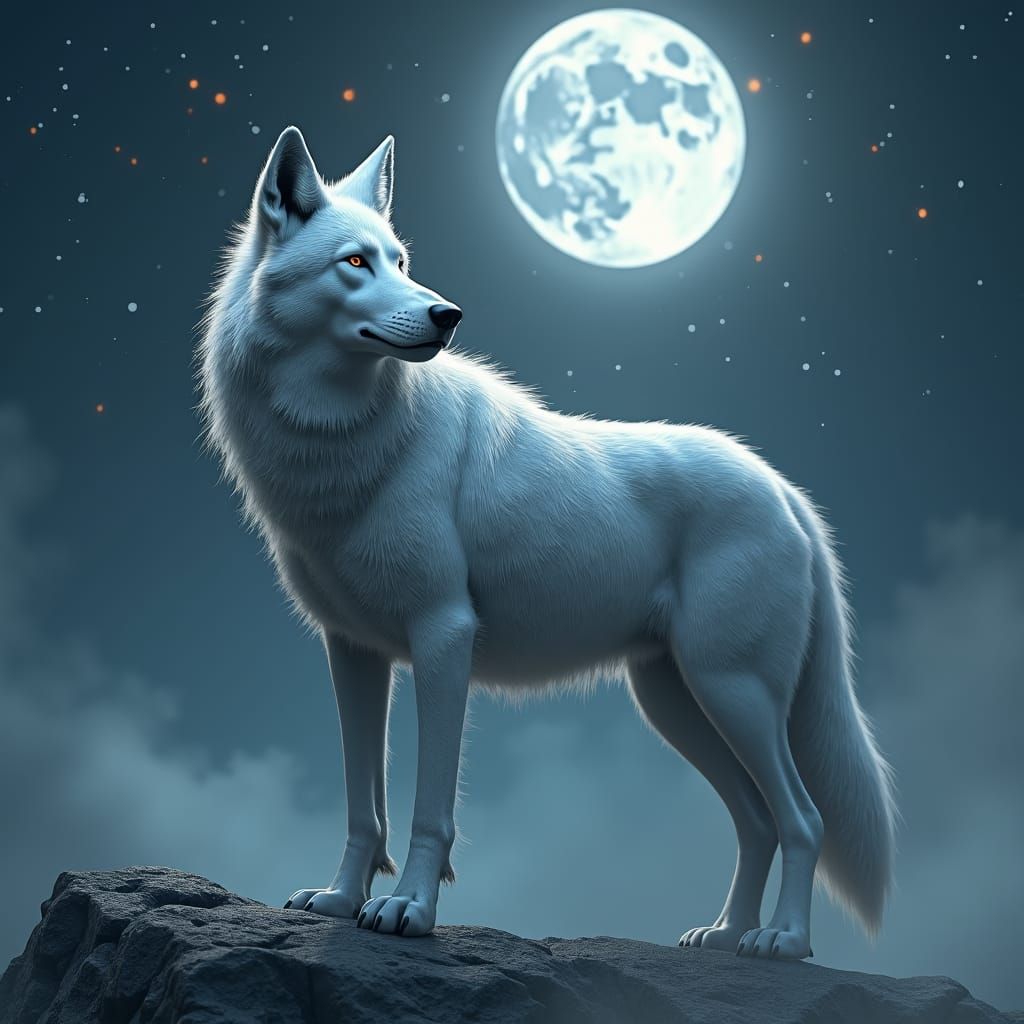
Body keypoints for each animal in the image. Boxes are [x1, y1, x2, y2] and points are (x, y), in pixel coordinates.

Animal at [196, 126, 897, 959]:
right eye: (356, 263)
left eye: (400, 259)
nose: (448, 314)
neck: (341, 446)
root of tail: (787, 491)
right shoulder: (353, 652)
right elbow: (363, 805)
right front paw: (338, 901)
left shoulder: (443, 636)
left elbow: (429, 808)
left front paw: (408, 911)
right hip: (679, 702)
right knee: (757, 820)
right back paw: (725, 934)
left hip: (734, 693)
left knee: (803, 816)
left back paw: (782, 941)